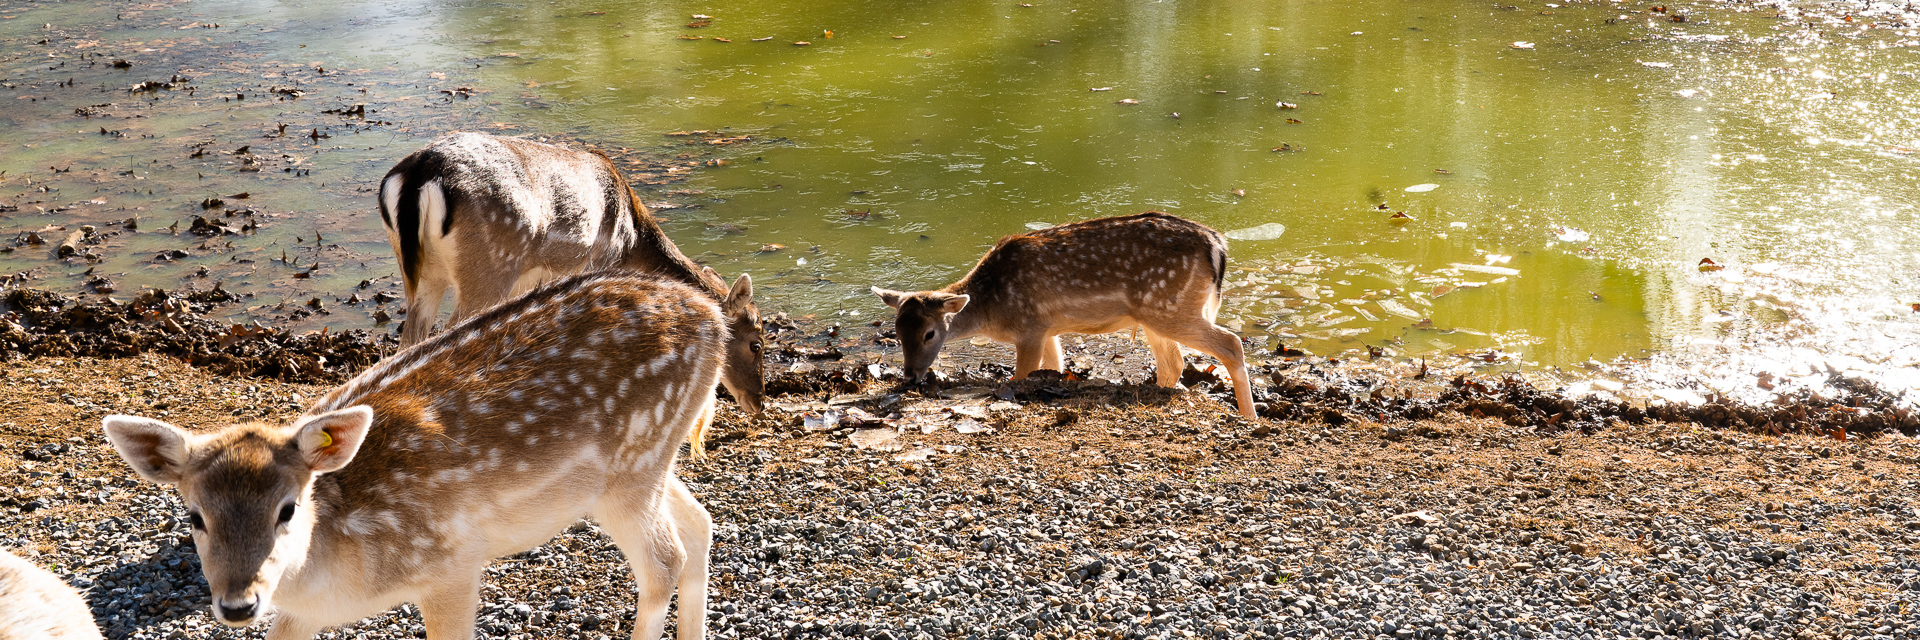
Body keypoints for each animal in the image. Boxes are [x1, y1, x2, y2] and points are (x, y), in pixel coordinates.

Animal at [103, 272, 723, 640]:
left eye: (287, 509)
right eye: (193, 516)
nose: (237, 605)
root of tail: (716, 318)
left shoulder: (452, 566)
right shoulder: (297, 615)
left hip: (632, 466)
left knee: (664, 561)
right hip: (652, 460)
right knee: (700, 523)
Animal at [379, 131, 764, 425]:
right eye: (757, 344)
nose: (759, 402)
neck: (632, 239)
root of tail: (419, 174)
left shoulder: (527, 281)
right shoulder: (597, 264)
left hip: (422, 274)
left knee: (409, 341)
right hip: (490, 265)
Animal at [871, 212, 1257, 419]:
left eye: (930, 334)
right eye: (897, 331)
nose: (910, 376)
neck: (993, 310)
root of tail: (1217, 246)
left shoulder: (1029, 327)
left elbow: (1020, 375)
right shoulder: (1047, 329)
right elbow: (1054, 367)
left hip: (1171, 308)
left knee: (1231, 343)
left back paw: (1248, 416)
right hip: (1157, 315)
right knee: (1173, 363)